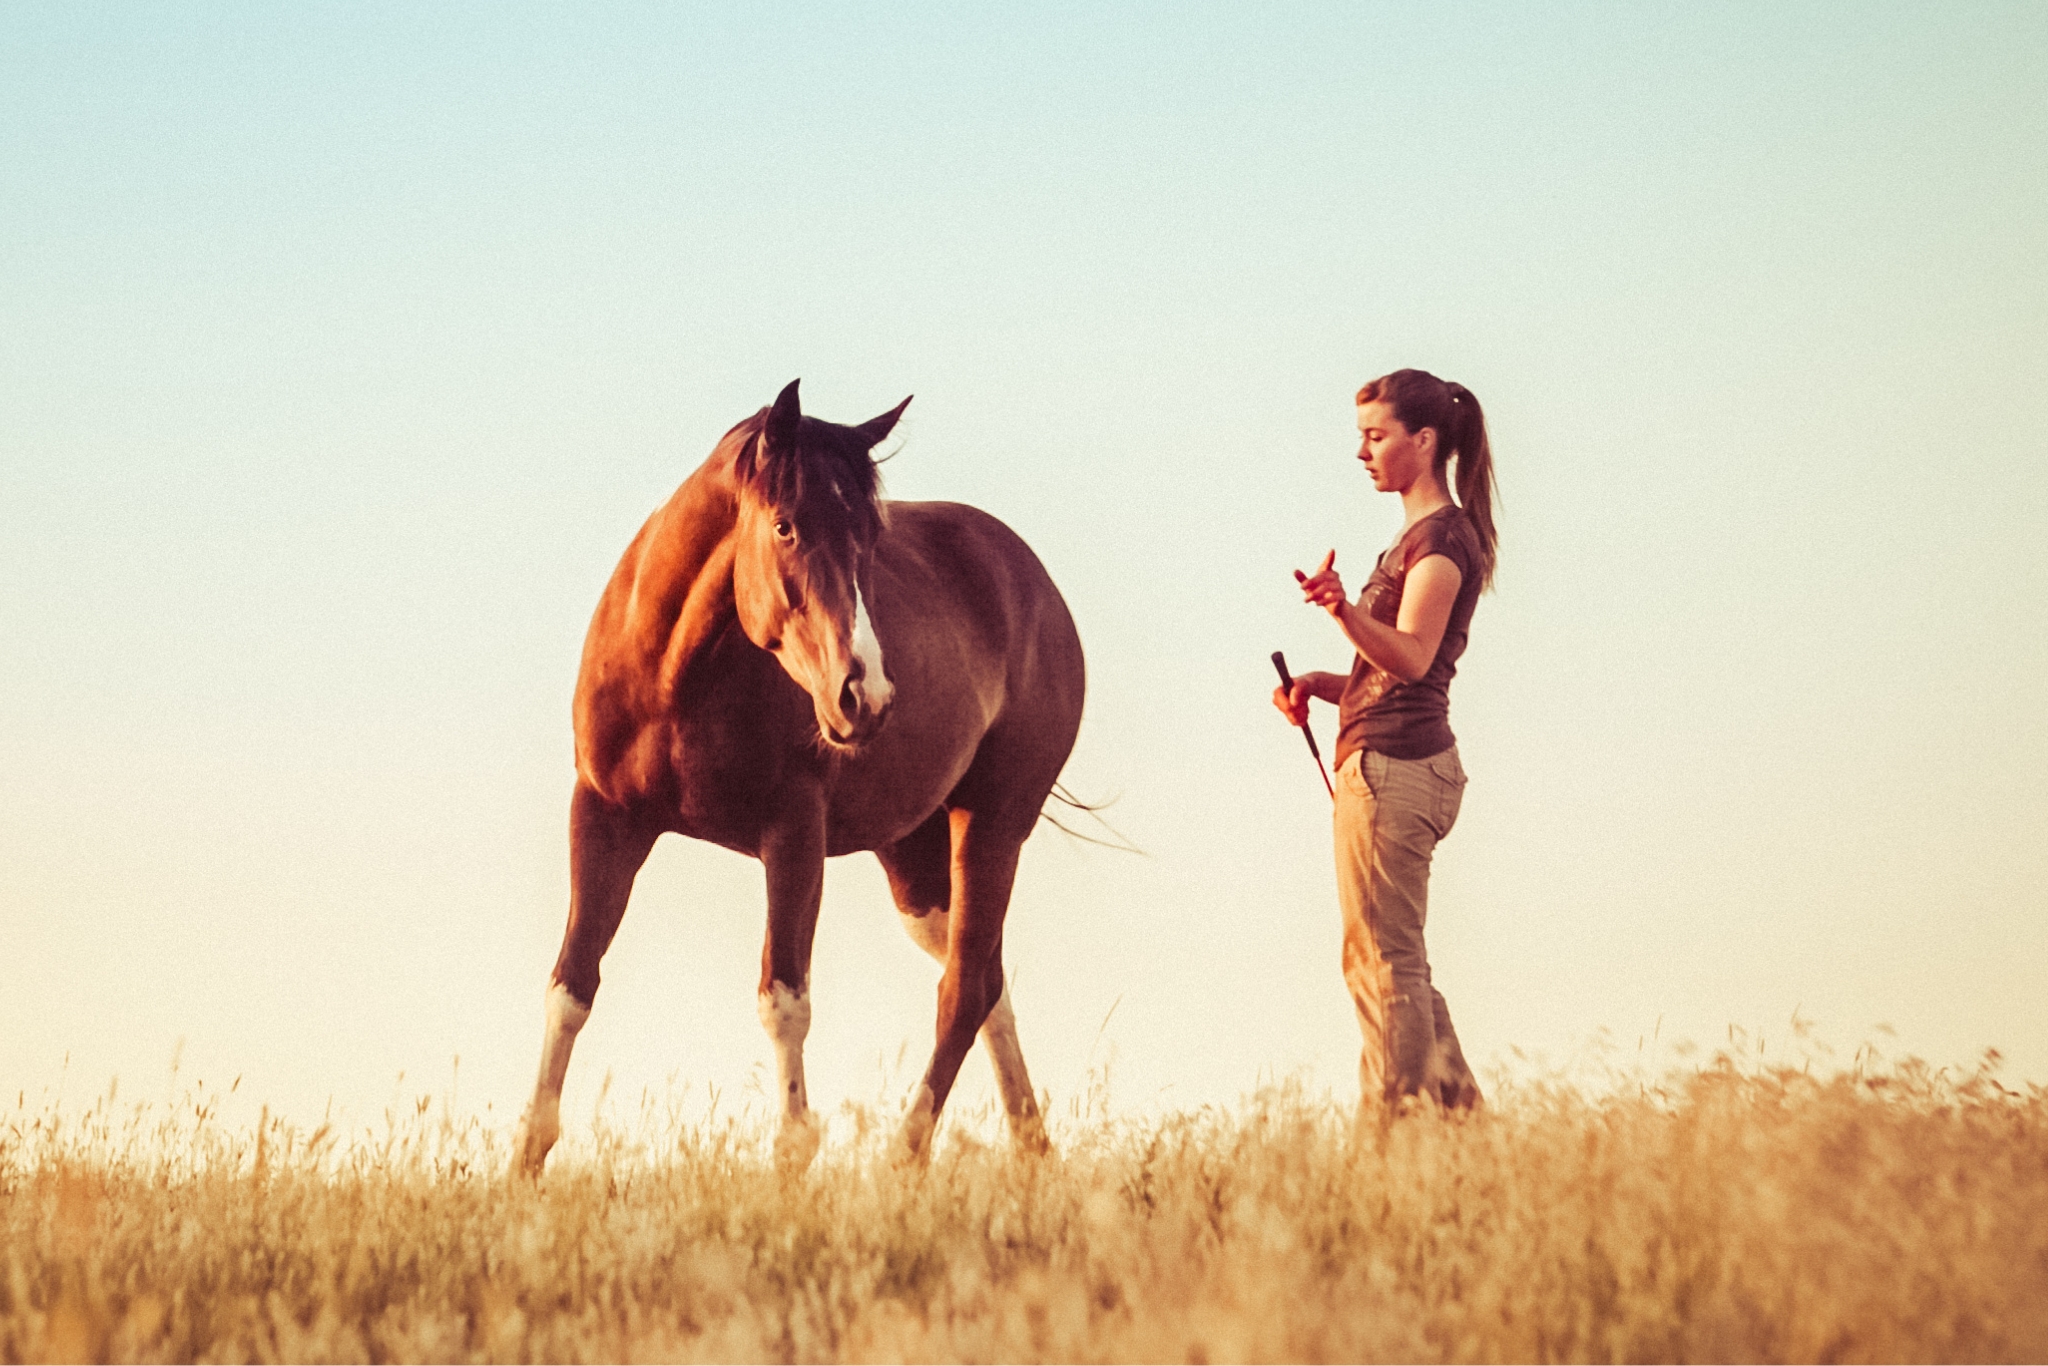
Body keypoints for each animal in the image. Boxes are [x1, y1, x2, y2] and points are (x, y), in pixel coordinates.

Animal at [512, 380, 1086, 1173]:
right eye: (785, 526)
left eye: (869, 538)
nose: (864, 695)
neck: (674, 677)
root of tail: (1037, 584)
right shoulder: (603, 818)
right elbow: (571, 986)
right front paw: (523, 1166)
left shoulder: (792, 838)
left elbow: (783, 998)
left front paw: (791, 1162)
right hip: (913, 858)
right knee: (986, 978)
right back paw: (1032, 1150)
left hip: (993, 822)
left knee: (965, 988)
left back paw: (904, 1160)